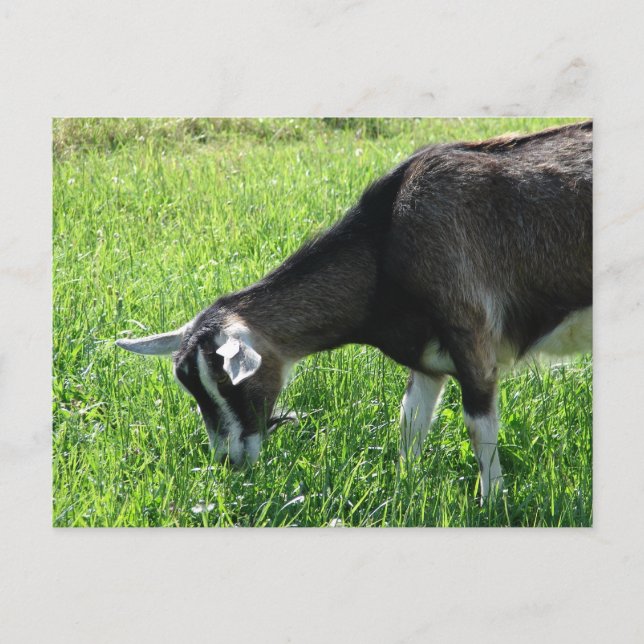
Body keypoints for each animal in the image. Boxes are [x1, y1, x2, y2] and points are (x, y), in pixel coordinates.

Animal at [116, 121, 592, 499]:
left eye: (229, 382)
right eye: (192, 390)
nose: (230, 461)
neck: (385, 244)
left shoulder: (474, 340)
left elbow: (479, 430)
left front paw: (492, 503)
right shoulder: (427, 359)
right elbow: (410, 421)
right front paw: (404, 489)